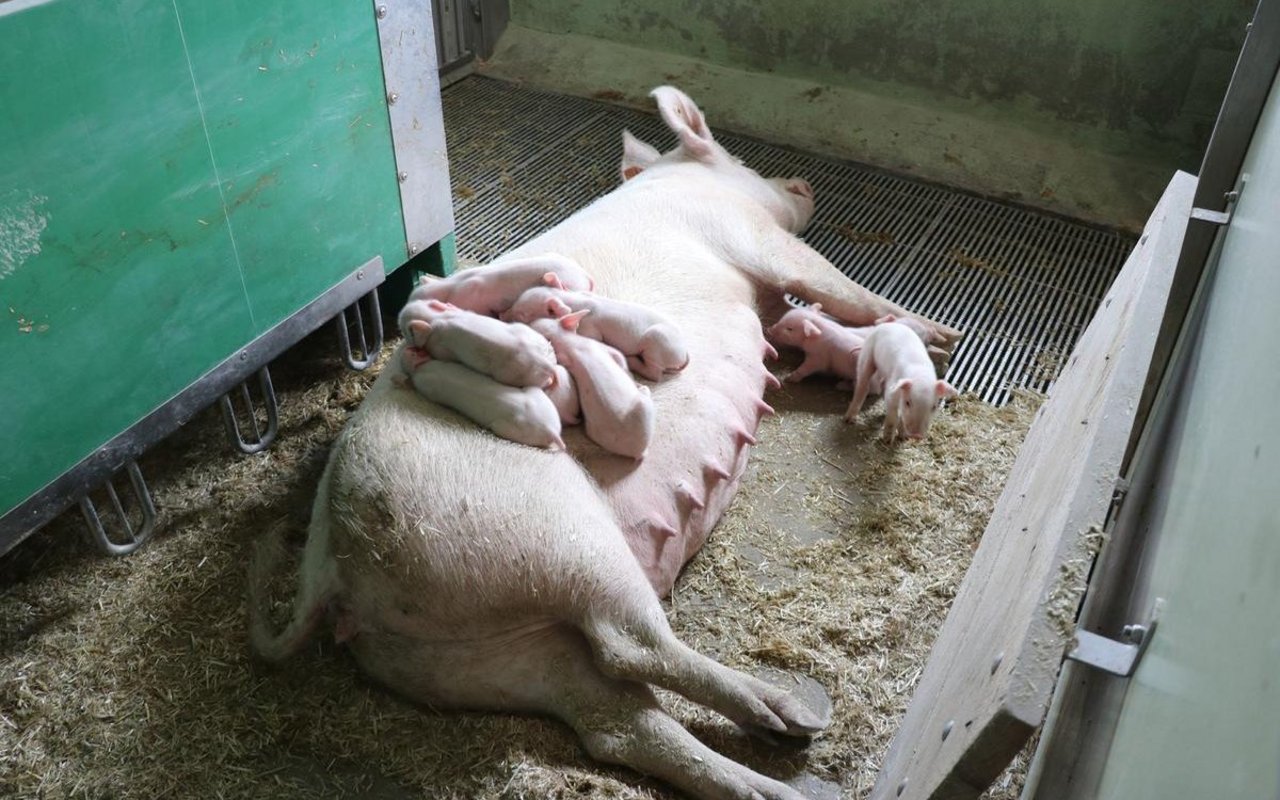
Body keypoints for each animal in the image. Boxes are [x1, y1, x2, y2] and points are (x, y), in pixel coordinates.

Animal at [504, 286, 689, 382]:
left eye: (522, 314)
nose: (501, 314)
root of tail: (684, 354)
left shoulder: (590, 330)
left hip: (656, 343)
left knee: (654, 374)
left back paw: (632, 360)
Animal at [530, 312, 654, 459]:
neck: (565, 344)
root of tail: (637, 452)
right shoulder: (602, 347)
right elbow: (620, 359)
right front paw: (632, 378)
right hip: (644, 408)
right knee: (646, 395)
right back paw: (641, 388)